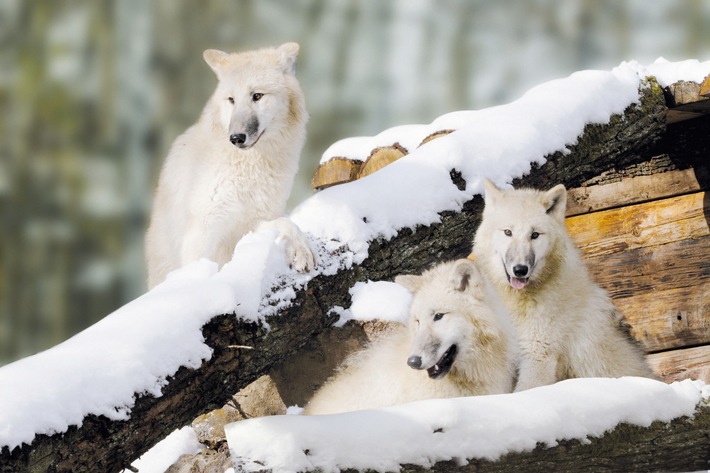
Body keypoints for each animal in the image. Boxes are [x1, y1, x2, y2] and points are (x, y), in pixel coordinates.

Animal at [146, 43, 316, 288]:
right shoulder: (202, 230)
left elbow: (288, 224)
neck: (249, 168)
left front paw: (302, 252)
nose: (236, 138)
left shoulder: (250, 224)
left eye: (257, 96)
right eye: (231, 99)